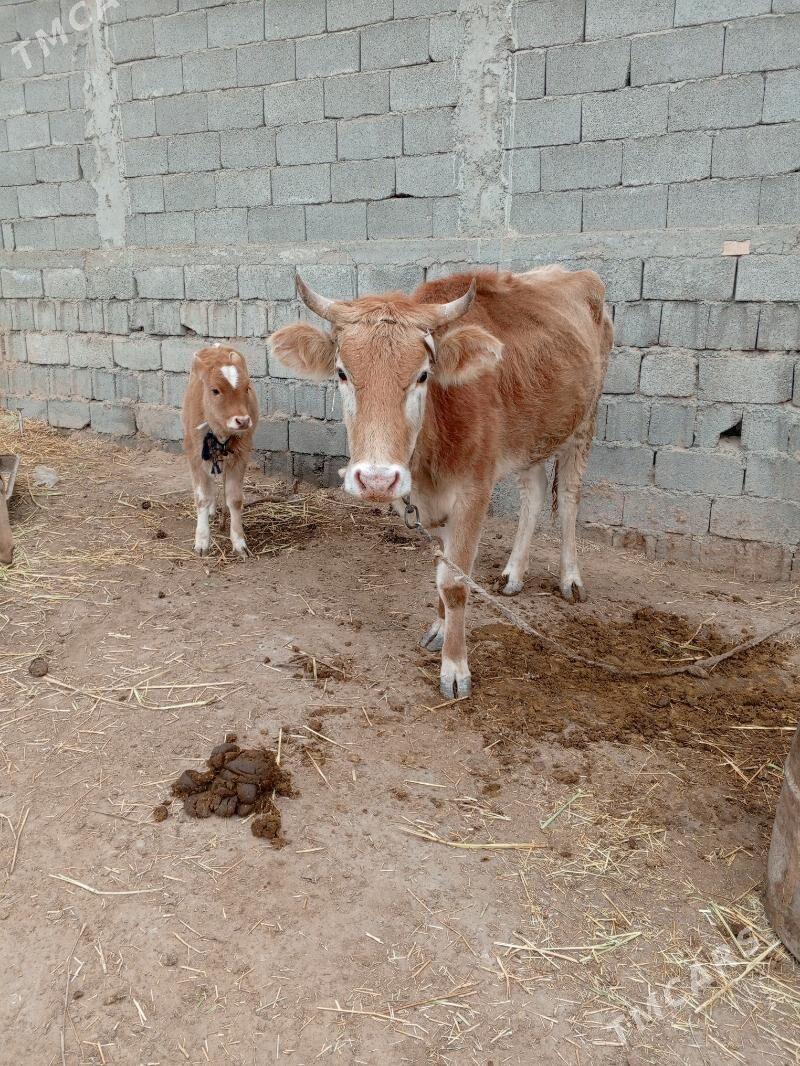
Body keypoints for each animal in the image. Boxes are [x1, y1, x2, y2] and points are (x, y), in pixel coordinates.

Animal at [182, 345, 259, 558]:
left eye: (247, 388)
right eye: (215, 390)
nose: (243, 420)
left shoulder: (241, 455)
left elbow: (235, 499)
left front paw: (239, 542)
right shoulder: (194, 456)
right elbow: (202, 497)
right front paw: (201, 541)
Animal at [270, 268, 613, 698]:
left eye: (422, 375)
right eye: (342, 373)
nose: (377, 479)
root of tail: (577, 274)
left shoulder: (474, 492)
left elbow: (454, 582)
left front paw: (455, 668)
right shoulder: (428, 502)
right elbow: (440, 567)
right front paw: (438, 627)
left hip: (585, 421)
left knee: (567, 497)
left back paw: (570, 579)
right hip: (530, 434)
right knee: (533, 494)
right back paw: (514, 574)